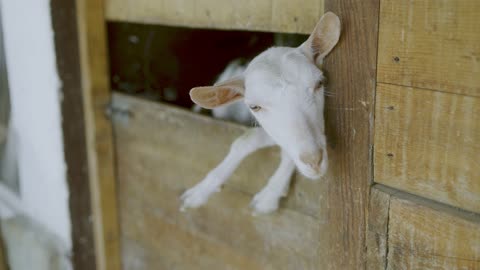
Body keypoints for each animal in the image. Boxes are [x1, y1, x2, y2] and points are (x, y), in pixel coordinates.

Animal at [181, 12, 342, 214]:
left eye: (319, 83)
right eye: (254, 106)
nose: (314, 161)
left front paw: (269, 195)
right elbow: (245, 140)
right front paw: (199, 192)